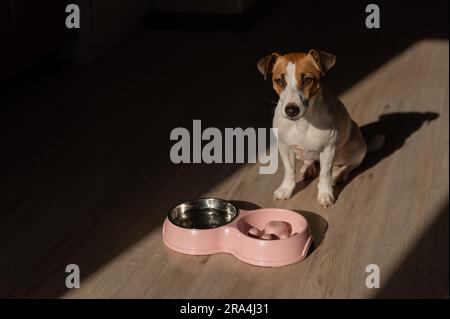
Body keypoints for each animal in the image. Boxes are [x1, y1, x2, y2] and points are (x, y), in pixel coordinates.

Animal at [258, 49, 368, 208]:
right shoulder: (284, 147)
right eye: (280, 81)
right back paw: (308, 168)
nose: (291, 110)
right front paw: (286, 189)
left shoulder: (328, 150)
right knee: (309, 159)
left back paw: (340, 174)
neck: (301, 123)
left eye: (307, 79)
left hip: (354, 148)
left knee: (353, 164)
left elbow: (325, 174)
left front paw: (325, 194)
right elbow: (289, 170)